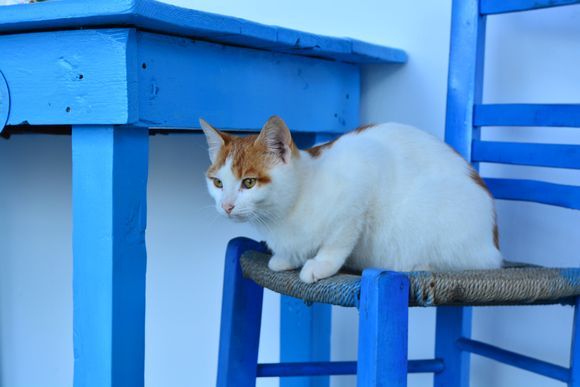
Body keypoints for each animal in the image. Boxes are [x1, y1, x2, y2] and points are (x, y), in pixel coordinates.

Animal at [201, 116, 502, 284]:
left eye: (249, 182)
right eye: (218, 183)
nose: (226, 206)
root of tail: (494, 241)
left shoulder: (363, 175)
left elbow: (338, 239)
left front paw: (320, 264)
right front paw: (285, 258)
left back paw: (419, 266)